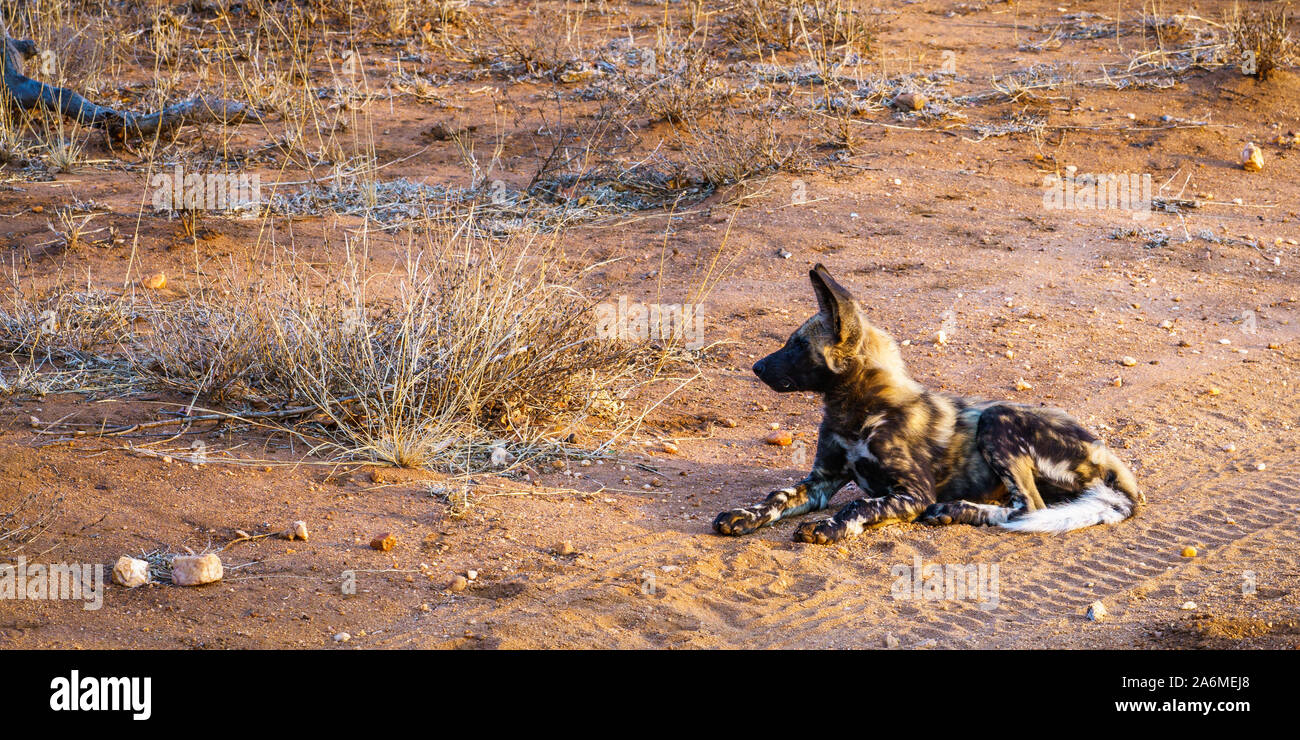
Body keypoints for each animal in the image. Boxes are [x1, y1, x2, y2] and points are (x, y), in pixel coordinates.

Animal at [717, 262, 1144, 538]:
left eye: (798, 345)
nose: (756, 367)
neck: (856, 409)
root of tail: (1110, 458)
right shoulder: (821, 480)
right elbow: (777, 495)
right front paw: (743, 515)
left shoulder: (914, 493)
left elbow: (859, 505)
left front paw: (829, 527)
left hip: (998, 418)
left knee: (1030, 509)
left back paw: (954, 510)